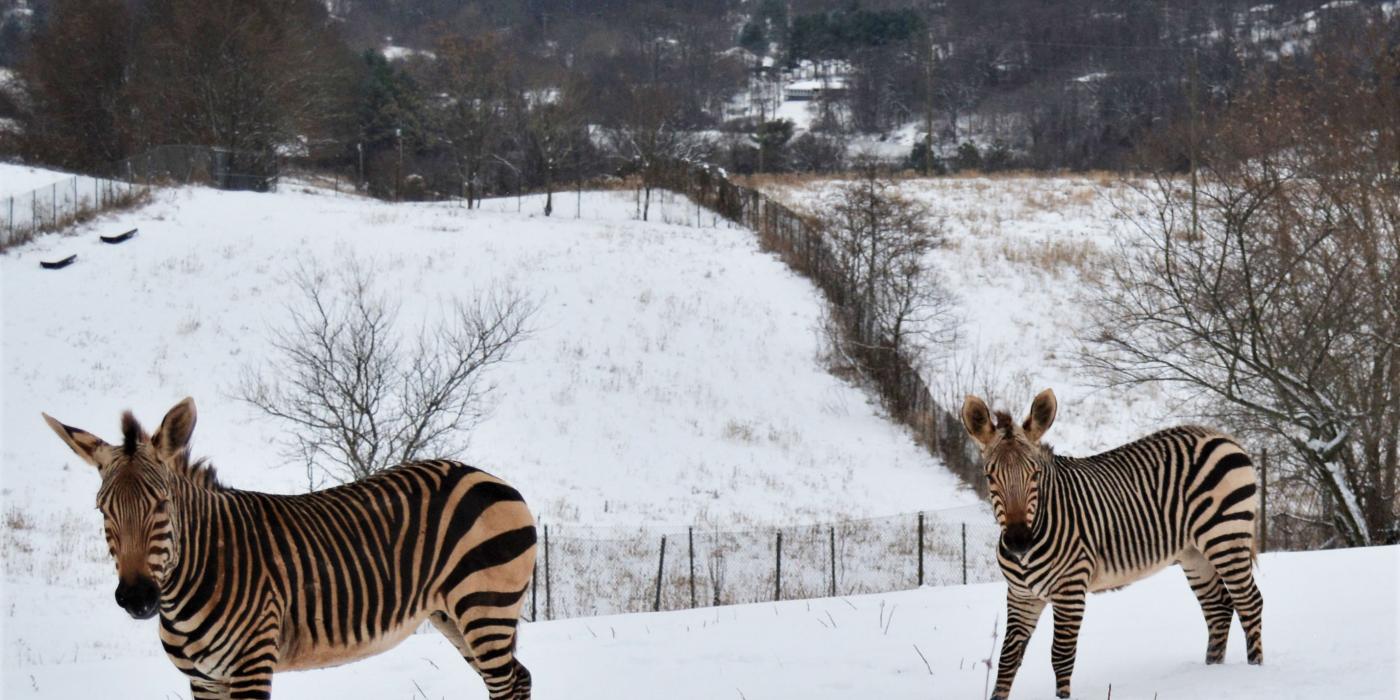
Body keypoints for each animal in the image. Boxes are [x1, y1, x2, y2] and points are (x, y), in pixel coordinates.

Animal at [43, 400, 534, 700]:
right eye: (102, 509)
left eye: (161, 504)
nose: (136, 598)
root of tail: (486, 475)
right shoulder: (205, 679)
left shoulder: (250, 667)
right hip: (451, 614)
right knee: (518, 678)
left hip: (485, 606)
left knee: (506, 684)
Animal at [963, 389, 1271, 700]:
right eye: (990, 476)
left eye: (1035, 474)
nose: (1019, 541)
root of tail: (1220, 435)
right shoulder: (1022, 596)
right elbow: (1007, 658)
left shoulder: (1070, 590)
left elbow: (1061, 656)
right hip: (1194, 554)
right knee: (1218, 608)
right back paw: (1212, 671)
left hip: (1225, 536)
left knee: (1249, 602)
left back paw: (1255, 670)